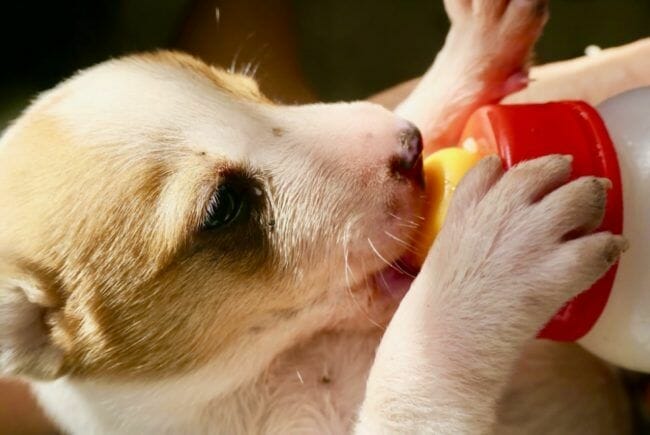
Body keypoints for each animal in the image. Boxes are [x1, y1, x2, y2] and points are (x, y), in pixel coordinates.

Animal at [0, 0, 628, 434]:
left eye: (254, 90)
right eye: (223, 207)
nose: (410, 147)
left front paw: (469, 57)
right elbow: (410, 374)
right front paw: (484, 265)